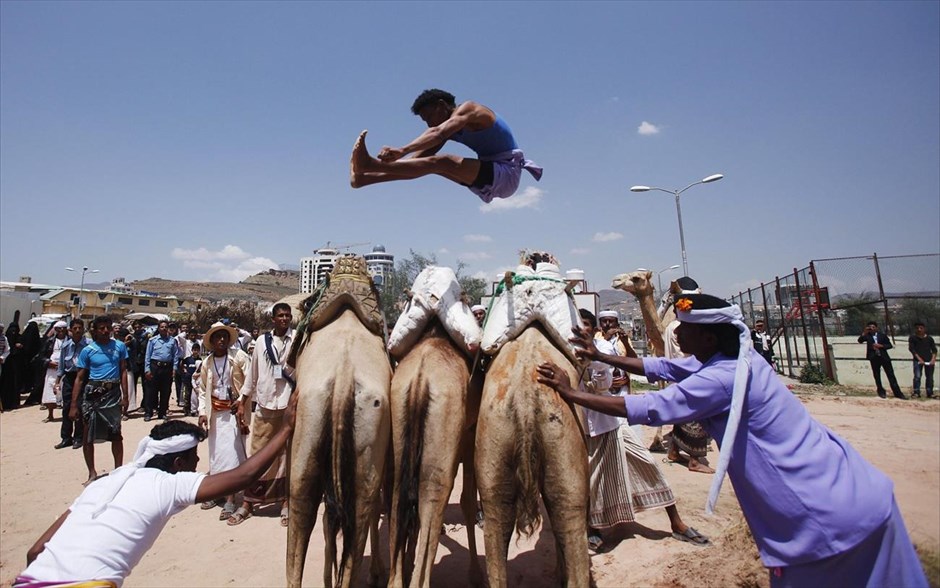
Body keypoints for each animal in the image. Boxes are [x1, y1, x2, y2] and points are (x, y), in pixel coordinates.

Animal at [386, 266, 484, 588]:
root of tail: (419, 381)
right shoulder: (468, 440)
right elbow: (467, 503)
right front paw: (476, 575)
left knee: (400, 497)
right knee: (432, 496)